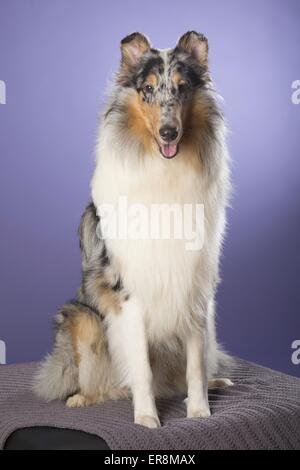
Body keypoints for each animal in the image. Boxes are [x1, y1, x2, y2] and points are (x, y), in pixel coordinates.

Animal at [34, 31, 232, 428]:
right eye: (148, 89)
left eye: (182, 88)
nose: (169, 132)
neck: (164, 170)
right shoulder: (128, 292)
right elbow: (141, 366)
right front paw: (146, 420)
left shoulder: (194, 287)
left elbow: (195, 366)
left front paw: (200, 412)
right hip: (82, 319)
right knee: (105, 384)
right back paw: (82, 398)